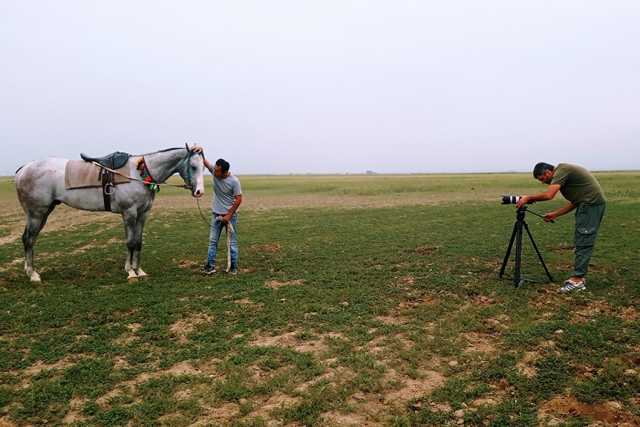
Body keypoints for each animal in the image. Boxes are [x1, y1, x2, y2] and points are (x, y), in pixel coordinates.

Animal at [14, 145, 205, 282]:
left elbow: (138, 243)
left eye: (203, 168)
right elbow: (130, 243)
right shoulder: (129, 213)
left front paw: (139, 270)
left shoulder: (142, 214)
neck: (139, 173)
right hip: (36, 213)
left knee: (30, 239)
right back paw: (33, 274)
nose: (199, 192)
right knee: (28, 239)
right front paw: (131, 272)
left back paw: (29, 270)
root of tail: (23, 169)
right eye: (193, 166)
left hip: (45, 212)